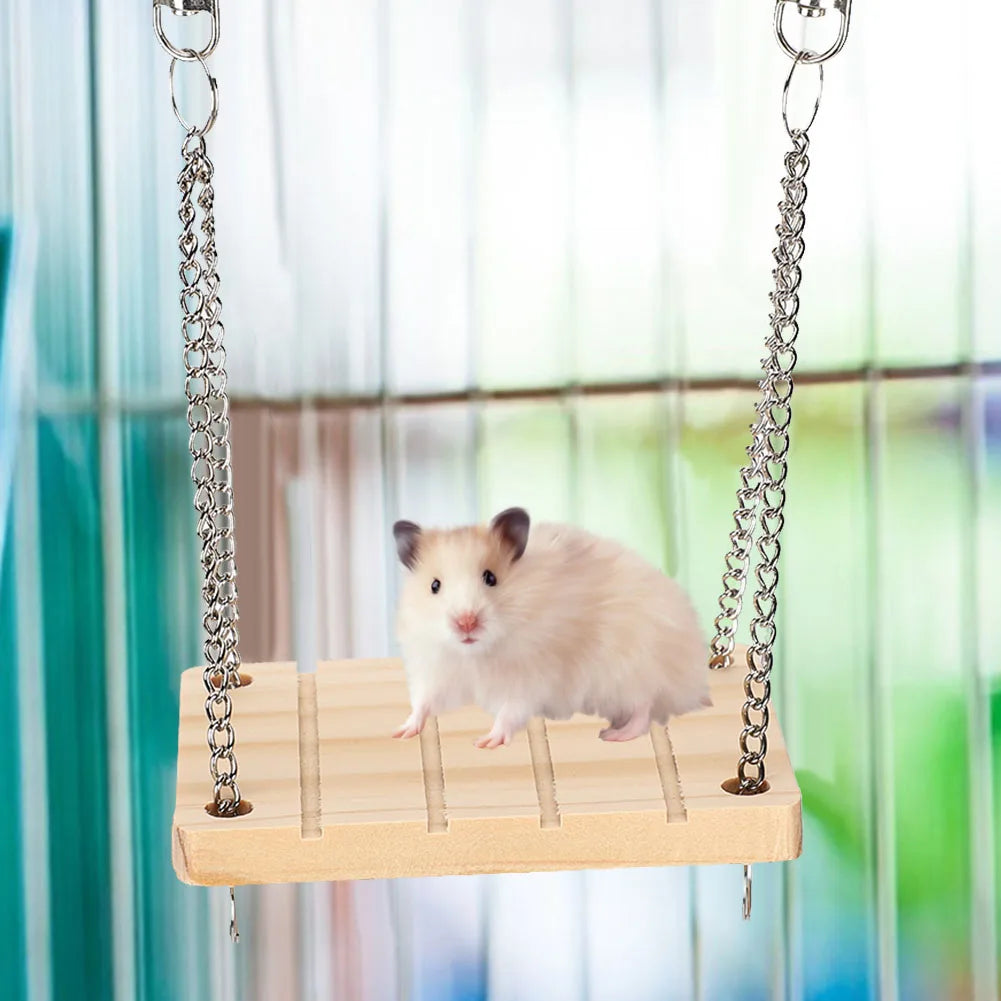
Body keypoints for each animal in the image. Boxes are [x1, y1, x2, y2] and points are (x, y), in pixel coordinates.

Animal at [391, 507, 711, 749]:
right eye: (434, 586)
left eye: (491, 578)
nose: (465, 622)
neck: (476, 653)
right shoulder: (436, 669)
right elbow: (423, 702)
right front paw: (402, 731)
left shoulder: (530, 677)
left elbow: (510, 711)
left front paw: (485, 741)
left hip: (634, 667)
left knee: (645, 706)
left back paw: (614, 734)